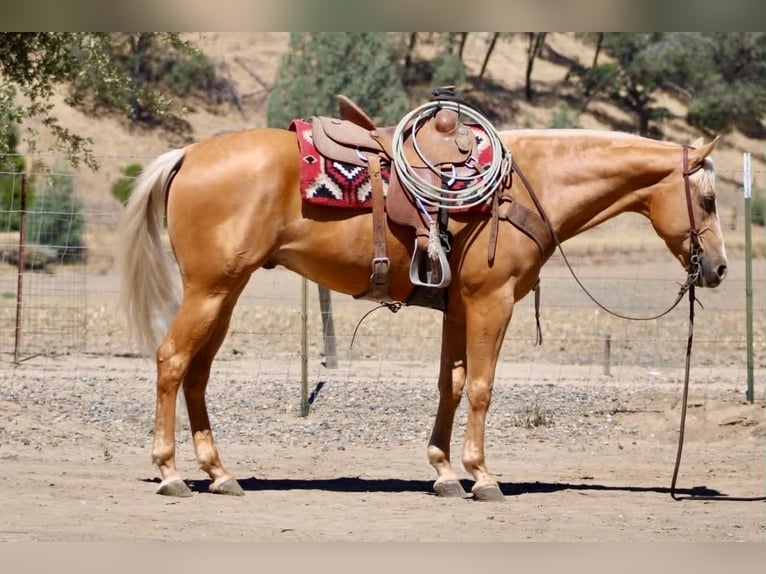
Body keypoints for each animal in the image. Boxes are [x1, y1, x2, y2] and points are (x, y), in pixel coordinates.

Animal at [118, 125, 727, 501]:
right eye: (709, 199)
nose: (718, 268)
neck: (529, 185)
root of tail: (188, 154)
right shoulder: (490, 303)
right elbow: (481, 387)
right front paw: (482, 476)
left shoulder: (458, 310)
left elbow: (450, 386)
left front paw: (444, 472)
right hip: (210, 289)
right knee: (172, 361)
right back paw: (170, 472)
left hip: (226, 292)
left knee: (197, 373)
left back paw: (219, 474)